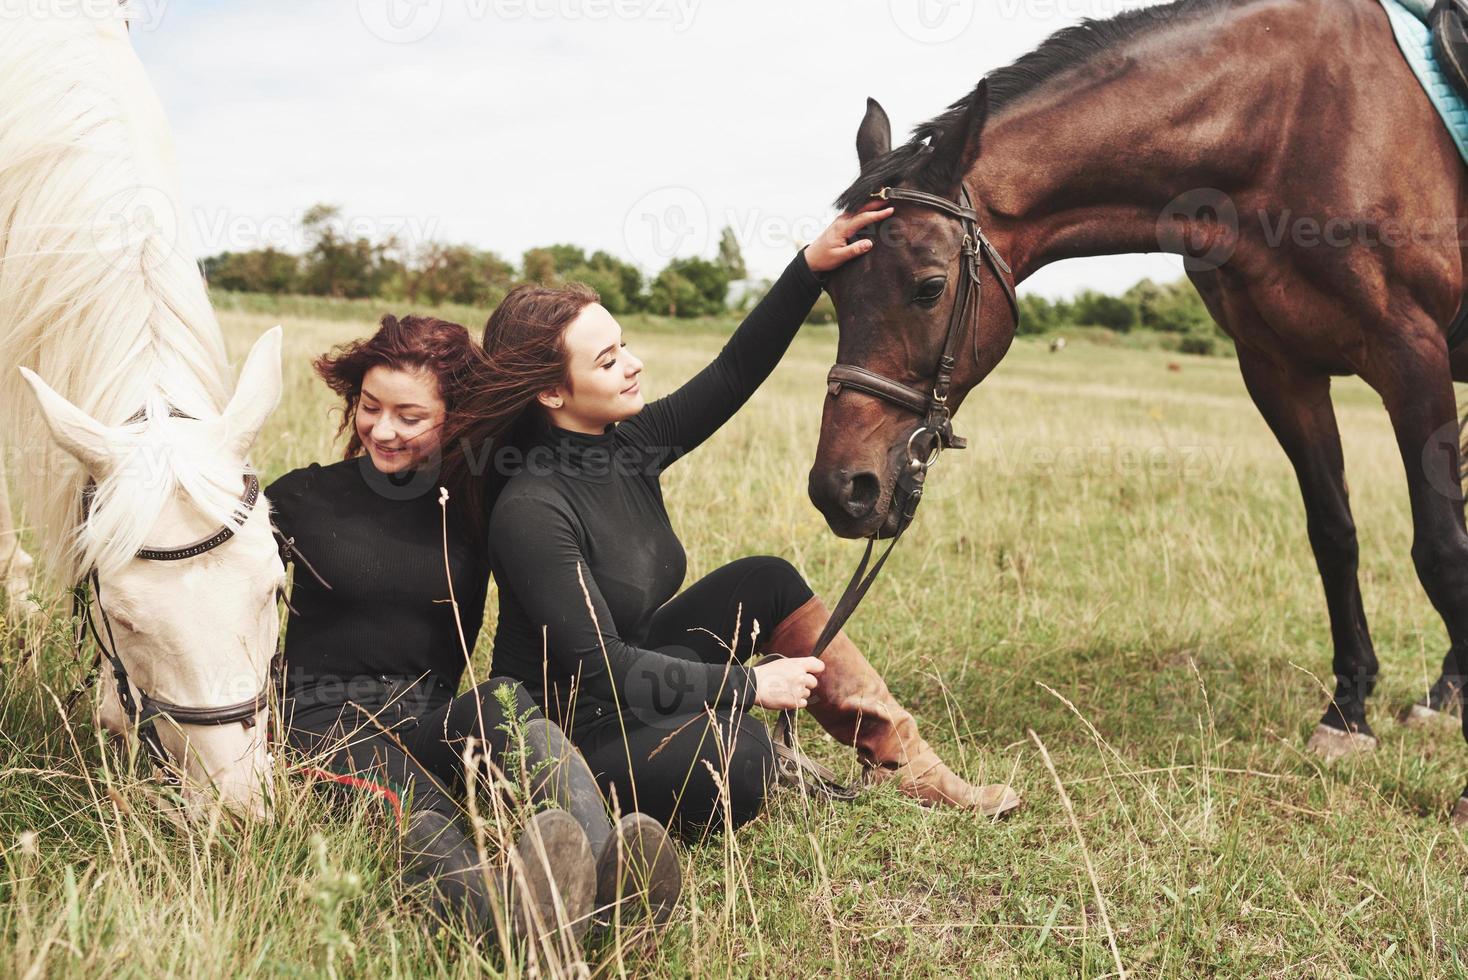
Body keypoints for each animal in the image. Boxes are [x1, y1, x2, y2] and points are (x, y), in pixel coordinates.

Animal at [810, 0, 1468, 827]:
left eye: (928, 287)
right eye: (832, 288)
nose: (842, 490)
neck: (1294, 124)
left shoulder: (1412, 356)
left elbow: (1440, 551)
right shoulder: (1280, 370)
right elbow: (1334, 535)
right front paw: (1348, 714)